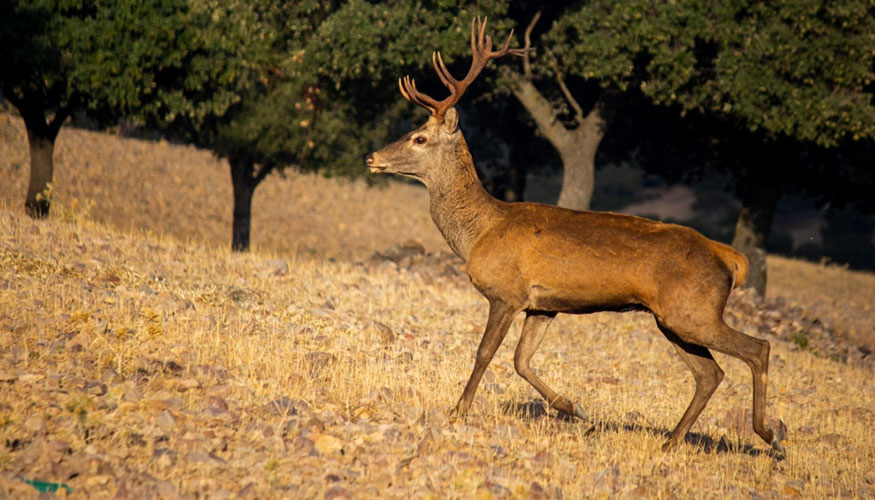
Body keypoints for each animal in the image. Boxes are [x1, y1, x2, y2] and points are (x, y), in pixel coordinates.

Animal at [362, 18, 788, 458]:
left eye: (419, 138)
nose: (371, 157)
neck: (479, 231)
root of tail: (730, 258)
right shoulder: (542, 305)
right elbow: (521, 360)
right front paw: (575, 408)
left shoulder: (506, 293)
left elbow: (485, 353)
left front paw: (457, 411)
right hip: (675, 318)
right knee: (710, 373)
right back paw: (671, 441)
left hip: (694, 311)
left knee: (758, 349)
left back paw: (770, 436)